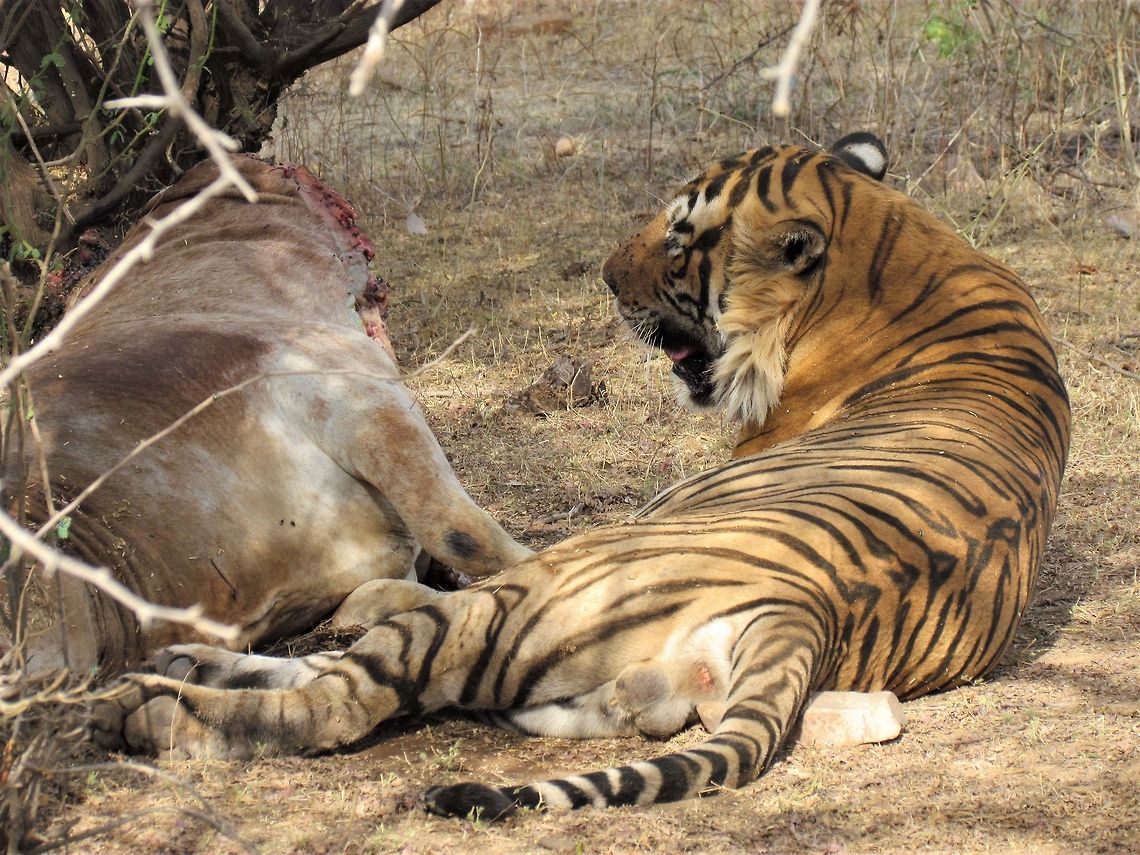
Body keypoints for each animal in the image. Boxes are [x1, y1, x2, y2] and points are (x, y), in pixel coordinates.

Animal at [92, 132, 1070, 819]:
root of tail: (808, 613)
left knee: (340, 695)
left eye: (681, 241)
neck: (896, 252)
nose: (603, 278)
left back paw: (146, 705)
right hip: (579, 676)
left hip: (529, 596)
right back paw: (183, 662)